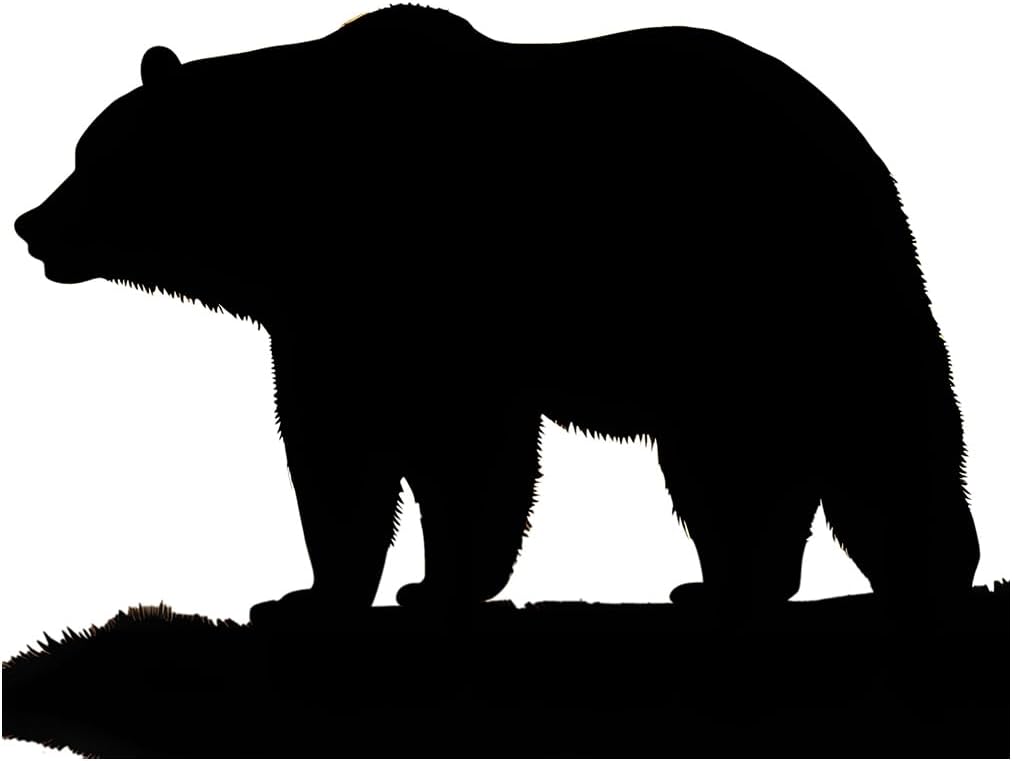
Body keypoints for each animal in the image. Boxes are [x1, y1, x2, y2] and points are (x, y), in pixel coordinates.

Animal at [15, 5, 979, 616]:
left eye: (92, 155)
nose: (31, 223)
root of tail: (864, 153)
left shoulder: (424, 286)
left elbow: (444, 444)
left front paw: (419, 584)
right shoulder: (325, 314)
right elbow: (346, 442)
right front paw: (325, 591)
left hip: (769, 291)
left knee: (820, 443)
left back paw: (888, 573)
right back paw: (738, 580)